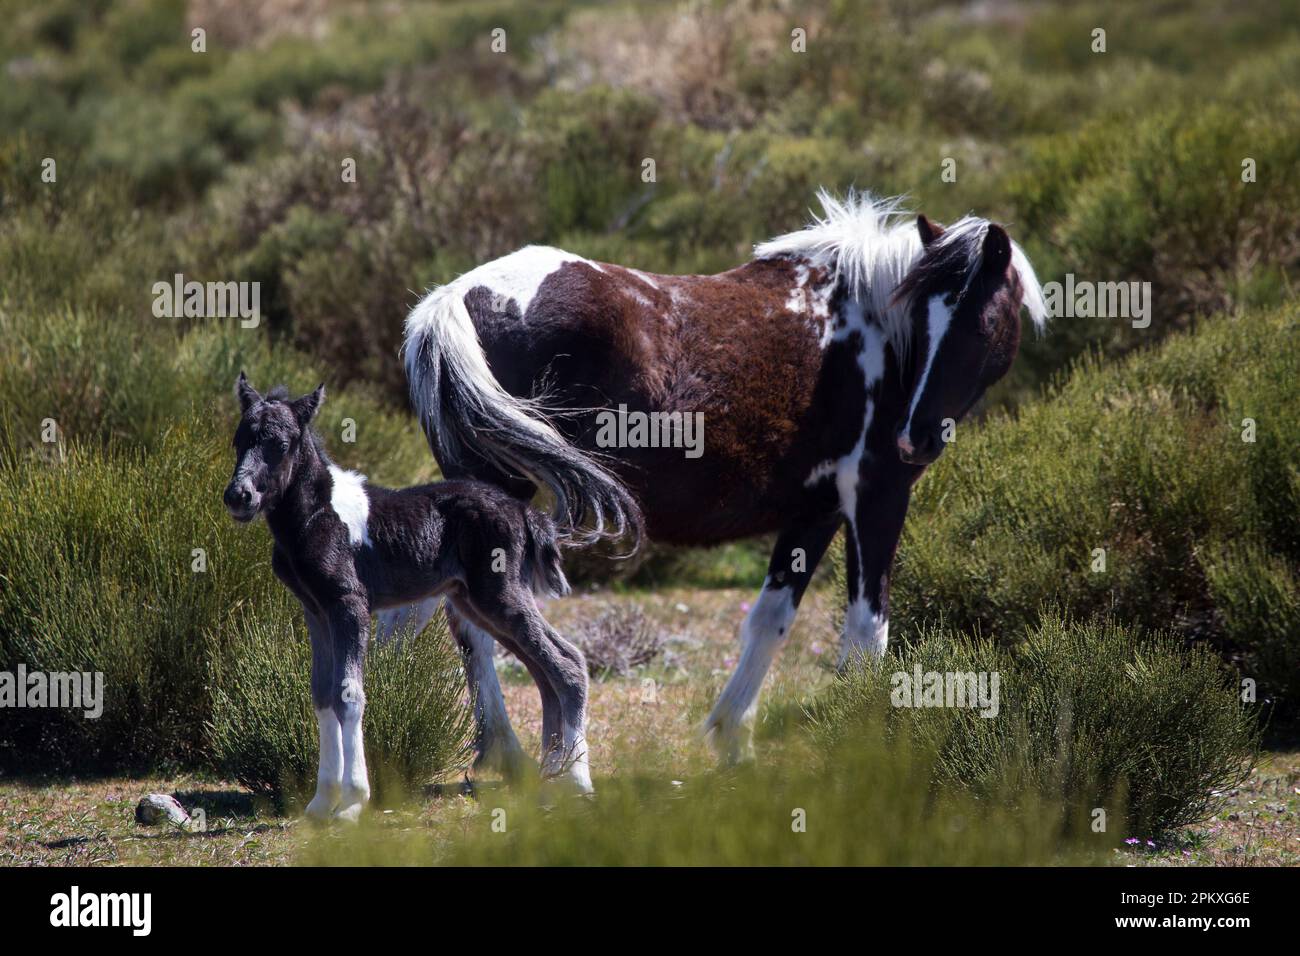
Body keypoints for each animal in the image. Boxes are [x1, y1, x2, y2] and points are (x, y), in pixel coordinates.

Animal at [223, 374, 590, 822]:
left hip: (501, 596)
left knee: (567, 664)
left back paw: (576, 781)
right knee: (546, 673)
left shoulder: (351, 605)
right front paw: (321, 802)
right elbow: (322, 694)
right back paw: (551, 777)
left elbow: (349, 693)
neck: (318, 515)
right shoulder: (316, 611)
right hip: (476, 603)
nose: (239, 496)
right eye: (239, 439)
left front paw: (353, 803)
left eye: (280, 443)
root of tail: (526, 514)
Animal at [395, 192, 1045, 770]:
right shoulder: (876, 497)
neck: (870, 329)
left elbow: (770, 621)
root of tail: (452, 299)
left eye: (982, 323)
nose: (915, 437)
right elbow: (866, 633)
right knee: (472, 624)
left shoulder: (815, 512)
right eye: (921, 320)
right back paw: (510, 756)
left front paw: (732, 738)